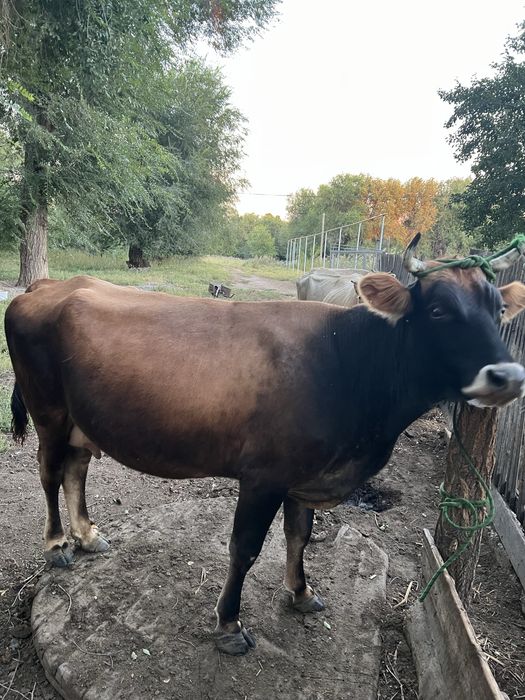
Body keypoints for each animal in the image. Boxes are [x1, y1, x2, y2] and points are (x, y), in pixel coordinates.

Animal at [5, 235, 525, 656]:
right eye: (438, 309)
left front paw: (301, 592)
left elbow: (300, 535)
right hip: (48, 412)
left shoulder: (305, 475)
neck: (345, 360)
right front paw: (229, 624)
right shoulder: (264, 476)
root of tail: (47, 286)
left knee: (76, 469)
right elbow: (247, 547)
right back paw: (58, 544)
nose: (507, 375)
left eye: (499, 309)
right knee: (49, 471)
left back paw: (87, 535)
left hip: (81, 420)